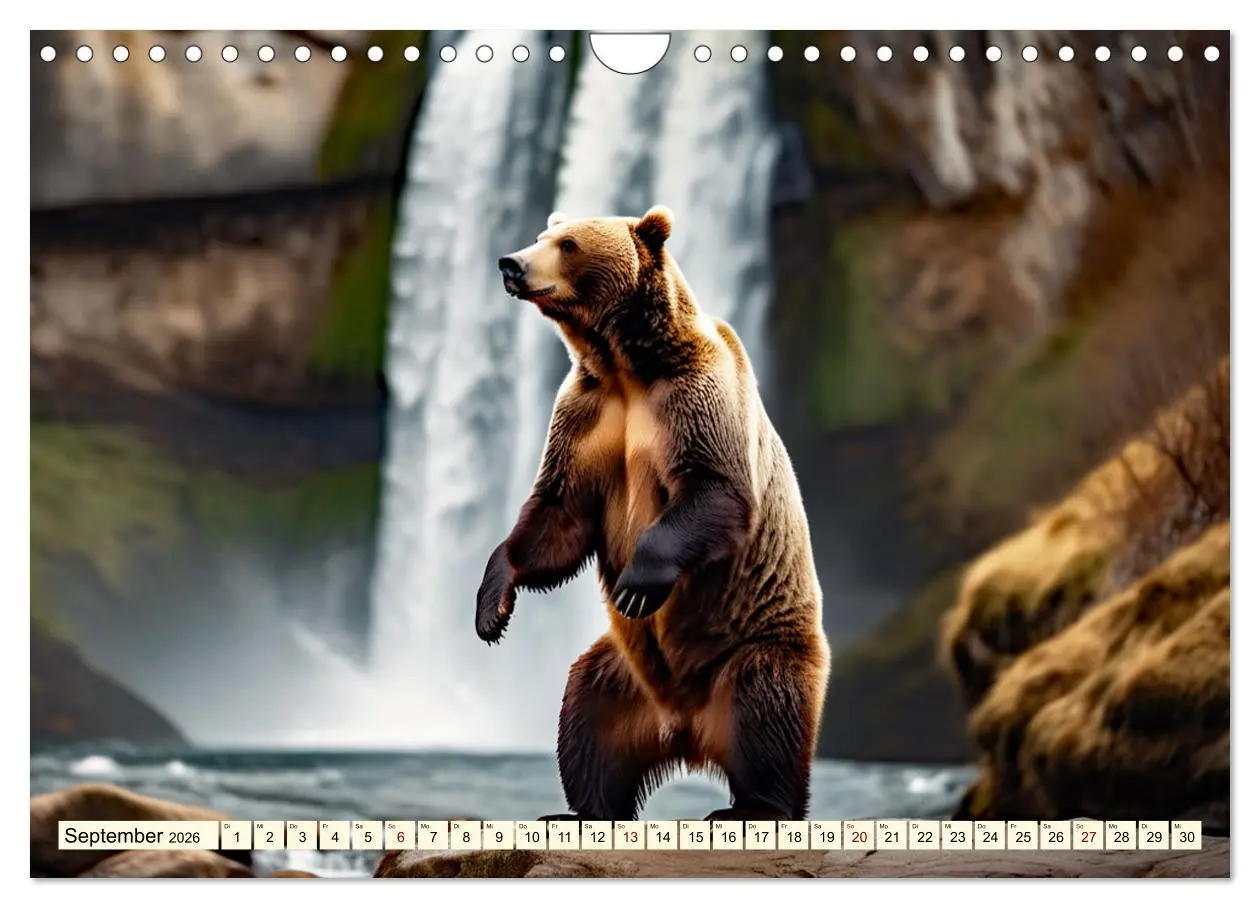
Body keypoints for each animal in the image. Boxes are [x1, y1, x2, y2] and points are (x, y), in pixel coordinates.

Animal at [476, 205, 831, 822]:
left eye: (567, 244)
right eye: (543, 235)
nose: (511, 263)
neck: (627, 365)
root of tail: (686, 731)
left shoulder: (695, 398)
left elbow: (716, 490)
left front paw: (637, 586)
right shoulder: (588, 416)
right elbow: (558, 516)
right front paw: (493, 607)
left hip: (755, 646)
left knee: (766, 713)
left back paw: (751, 807)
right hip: (623, 673)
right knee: (586, 719)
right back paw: (580, 810)